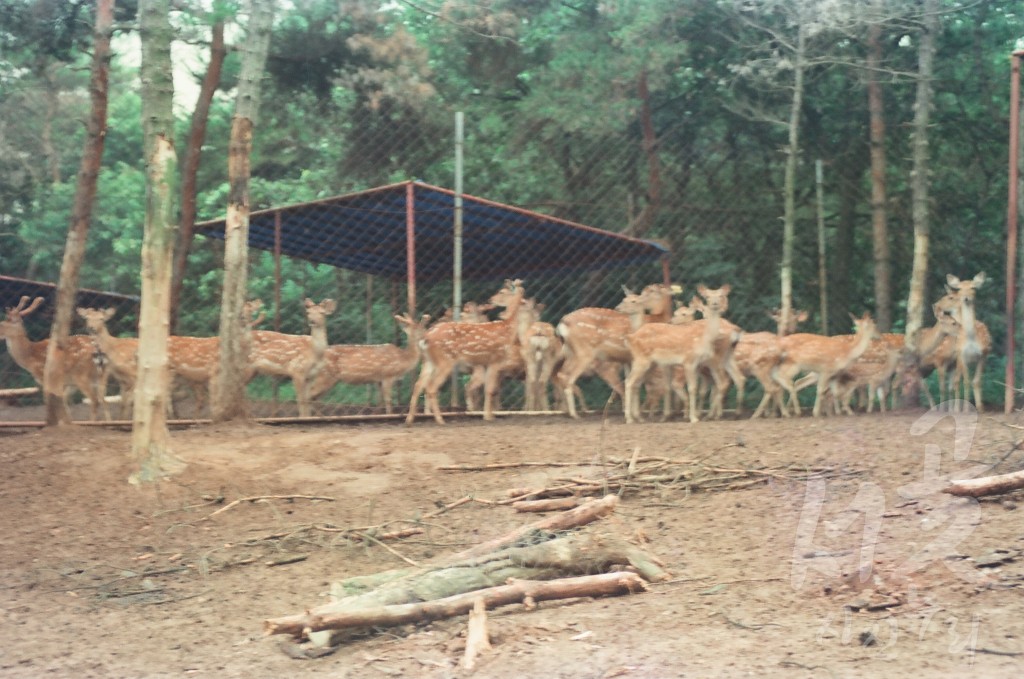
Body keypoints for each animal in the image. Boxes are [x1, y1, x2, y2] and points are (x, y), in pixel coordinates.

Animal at [403, 278, 524, 421]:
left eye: (502, 292)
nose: (490, 299)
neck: (508, 329)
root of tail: (425, 338)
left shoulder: (488, 363)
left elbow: (488, 389)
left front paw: (487, 415)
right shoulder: (496, 359)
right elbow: (490, 389)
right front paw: (488, 417)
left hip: (428, 361)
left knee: (418, 385)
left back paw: (410, 419)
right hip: (445, 360)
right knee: (431, 387)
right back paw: (440, 420)